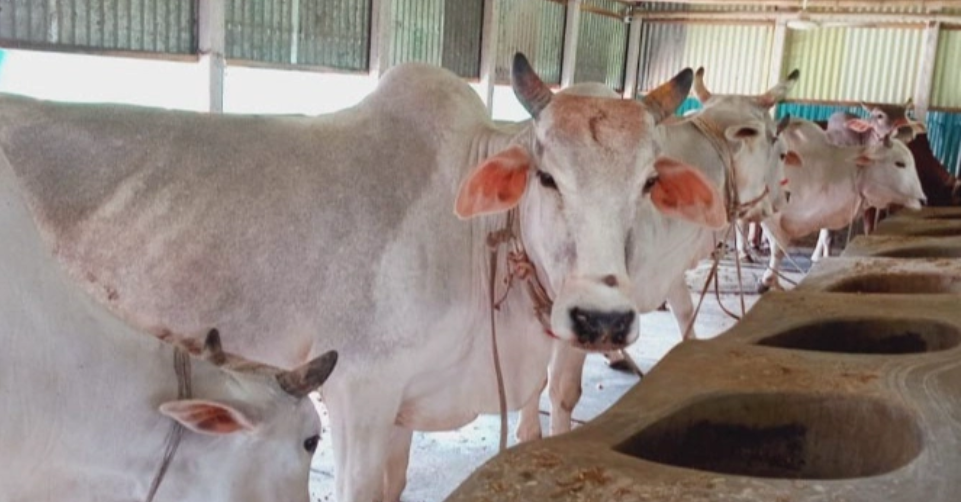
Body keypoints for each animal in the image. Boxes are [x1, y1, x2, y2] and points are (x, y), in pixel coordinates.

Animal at [759, 119, 927, 292]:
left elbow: (825, 237)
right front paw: (768, 281)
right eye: (899, 163)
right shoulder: (771, 214)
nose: (923, 199)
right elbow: (779, 249)